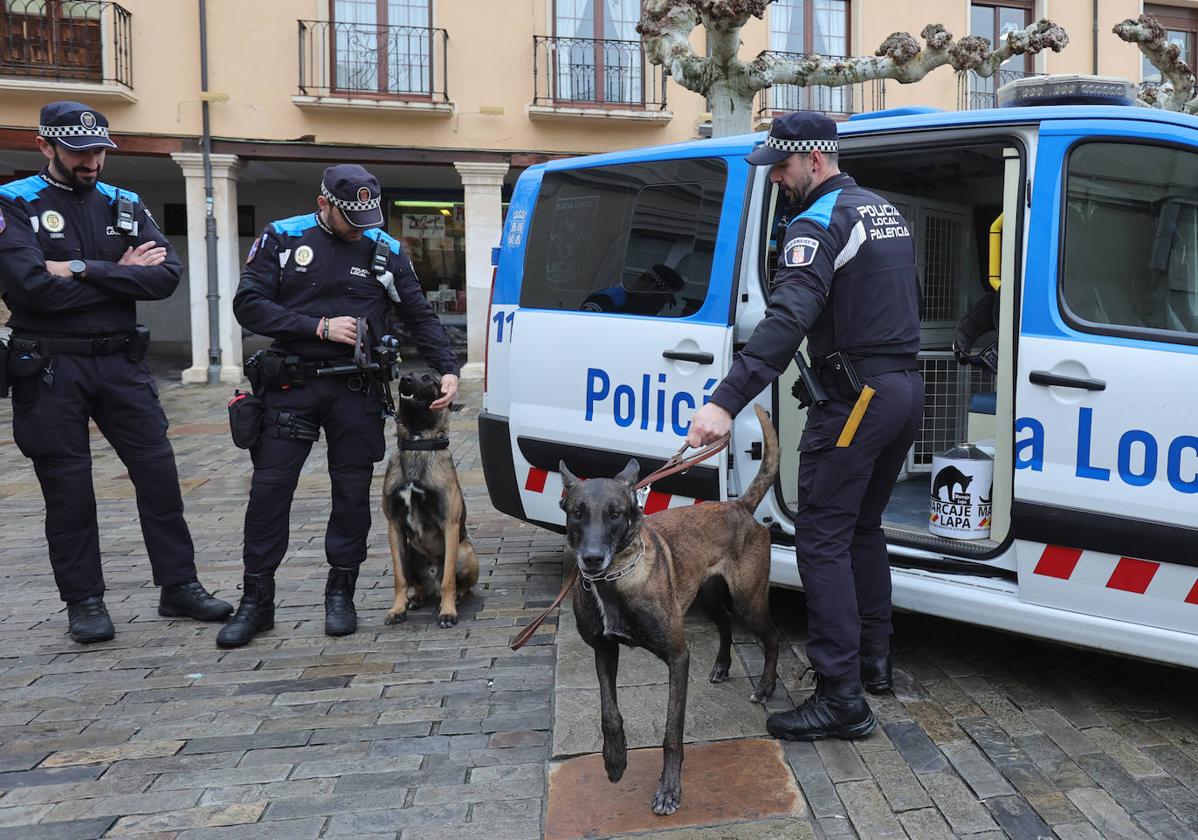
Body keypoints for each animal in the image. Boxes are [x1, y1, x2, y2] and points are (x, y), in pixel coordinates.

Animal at [383, 369, 476, 627]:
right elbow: (399, 578)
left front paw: (448, 612)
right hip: (409, 553)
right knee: (416, 583)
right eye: (408, 373)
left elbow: (448, 580)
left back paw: (456, 599)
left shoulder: (450, 525)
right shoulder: (394, 525)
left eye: (428, 378)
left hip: (465, 552)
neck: (418, 443)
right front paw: (397, 609)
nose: (404, 379)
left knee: (459, 585)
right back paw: (417, 598)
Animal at [563, 402, 785, 814]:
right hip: (709, 597)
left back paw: (765, 687)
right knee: (724, 626)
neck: (616, 580)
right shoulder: (604, 649)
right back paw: (721, 666)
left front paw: (668, 789)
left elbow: (671, 733)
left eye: (616, 513)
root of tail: (740, 506)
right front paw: (614, 760)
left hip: (747, 600)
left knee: (772, 635)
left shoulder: (678, 657)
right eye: (577, 513)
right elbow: (609, 712)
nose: (592, 559)